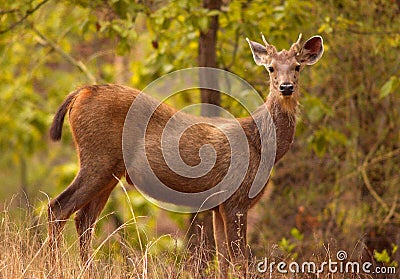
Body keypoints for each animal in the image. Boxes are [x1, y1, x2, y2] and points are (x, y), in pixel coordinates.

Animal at [49, 34, 324, 278]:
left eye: (297, 66)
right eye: (270, 68)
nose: (286, 87)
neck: (261, 144)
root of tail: (81, 92)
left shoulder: (218, 204)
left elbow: (223, 260)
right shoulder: (236, 199)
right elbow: (239, 261)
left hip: (109, 171)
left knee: (83, 220)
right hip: (97, 159)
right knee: (58, 207)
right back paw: (57, 267)